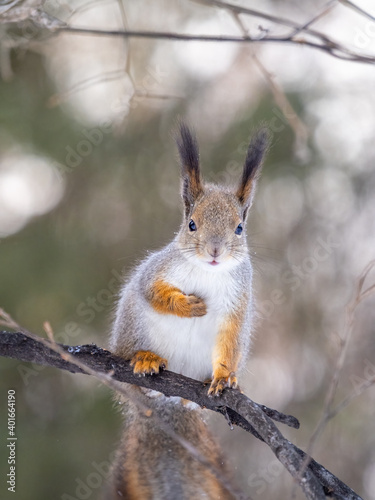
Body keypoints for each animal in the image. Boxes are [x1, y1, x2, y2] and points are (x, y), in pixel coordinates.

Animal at [107, 122, 268, 500]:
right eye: (192, 224)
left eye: (239, 228)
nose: (214, 251)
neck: (208, 272)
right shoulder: (156, 271)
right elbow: (153, 292)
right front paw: (189, 305)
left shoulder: (238, 302)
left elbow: (230, 337)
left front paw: (224, 377)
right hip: (132, 330)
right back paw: (145, 360)